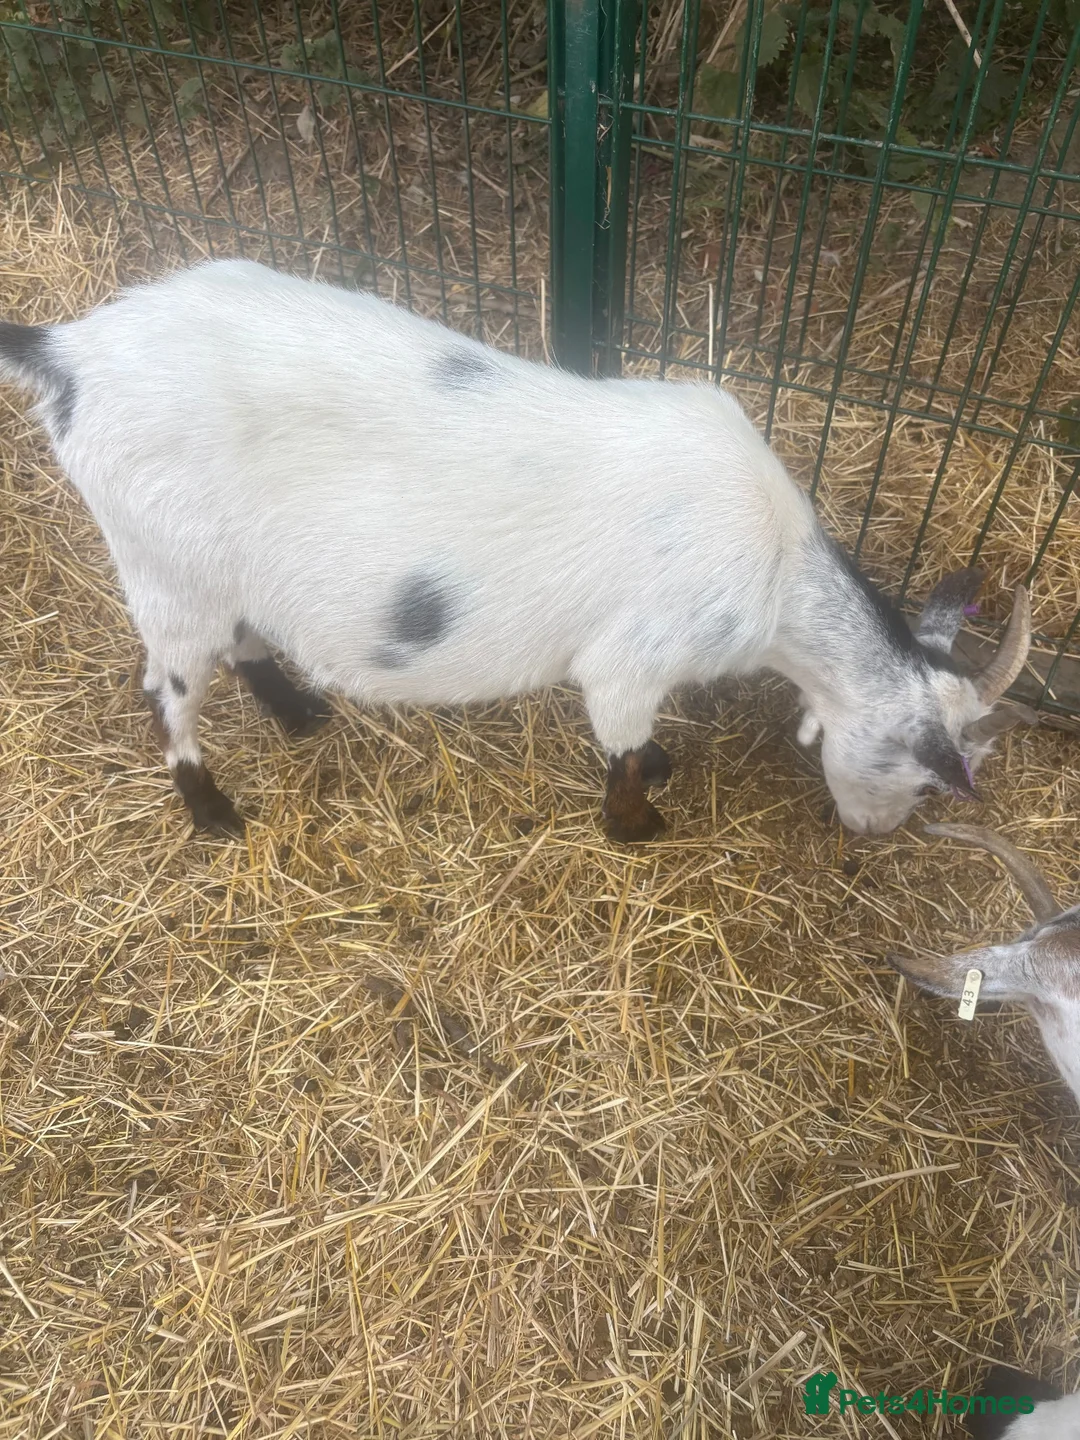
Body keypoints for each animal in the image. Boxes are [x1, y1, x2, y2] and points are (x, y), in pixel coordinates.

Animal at [0, 259, 1035, 840]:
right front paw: (642, 822)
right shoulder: (629, 662)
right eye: (929, 774)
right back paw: (212, 812)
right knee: (166, 691)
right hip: (164, 562)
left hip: (214, 567)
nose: (871, 836)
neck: (781, 579)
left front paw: (660, 771)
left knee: (240, 638)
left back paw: (297, 713)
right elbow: (620, 745)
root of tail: (70, 352)